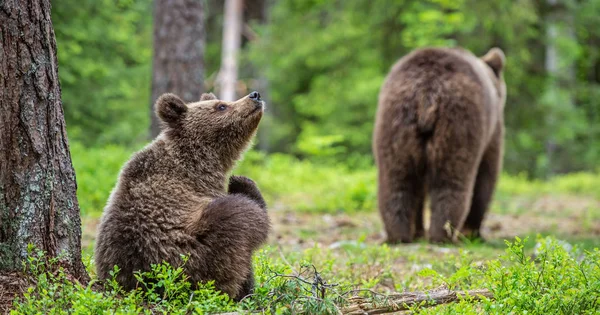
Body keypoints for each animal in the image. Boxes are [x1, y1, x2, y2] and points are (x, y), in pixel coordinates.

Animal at [376, 47, 506, 244]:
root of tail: (426, 92)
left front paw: (418, 231)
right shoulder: (492, 132)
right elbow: (486, 175)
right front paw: (472, 232)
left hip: (395, 121)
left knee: (397, 178)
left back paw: (399, 234)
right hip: (459, 122)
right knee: (451, 179)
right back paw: (443, 234)